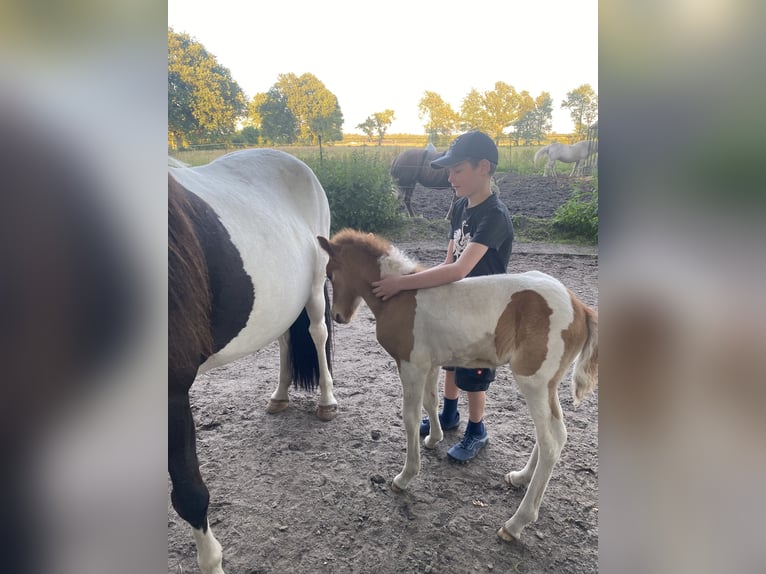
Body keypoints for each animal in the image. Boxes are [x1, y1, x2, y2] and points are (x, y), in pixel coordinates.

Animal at [170, 150, 338, 574]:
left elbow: (190, 496)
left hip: (314, 288)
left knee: (317, 334)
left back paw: (327, 402)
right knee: (283, 340)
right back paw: (279, 396)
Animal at [318, 230, 600, 544]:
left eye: (330, 273)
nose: (339, 316)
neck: (399, 296)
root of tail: (581, 307)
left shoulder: (410, 365)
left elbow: (410, 418)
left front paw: (405, 477)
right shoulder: (429, 364)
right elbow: (431, 401)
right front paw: (434, 439)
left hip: (533, 381)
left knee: (551, 441)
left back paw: (515, 523)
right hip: (548, 385)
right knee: (554, 433)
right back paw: (520, 477)